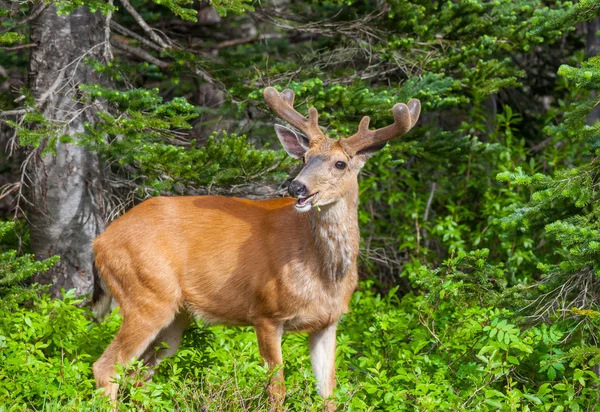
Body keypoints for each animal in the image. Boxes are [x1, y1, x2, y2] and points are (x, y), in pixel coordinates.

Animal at [92, 87, 422, 408]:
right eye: (305, 158)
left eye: (340, 163)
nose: (297, 187)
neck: (323, 273)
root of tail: (99, 242)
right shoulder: (265, 313)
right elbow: (277, 390)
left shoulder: (328, 322)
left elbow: (329, 395)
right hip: (145, 295)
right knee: (106, 367)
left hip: (174, 316)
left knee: (137, 375)